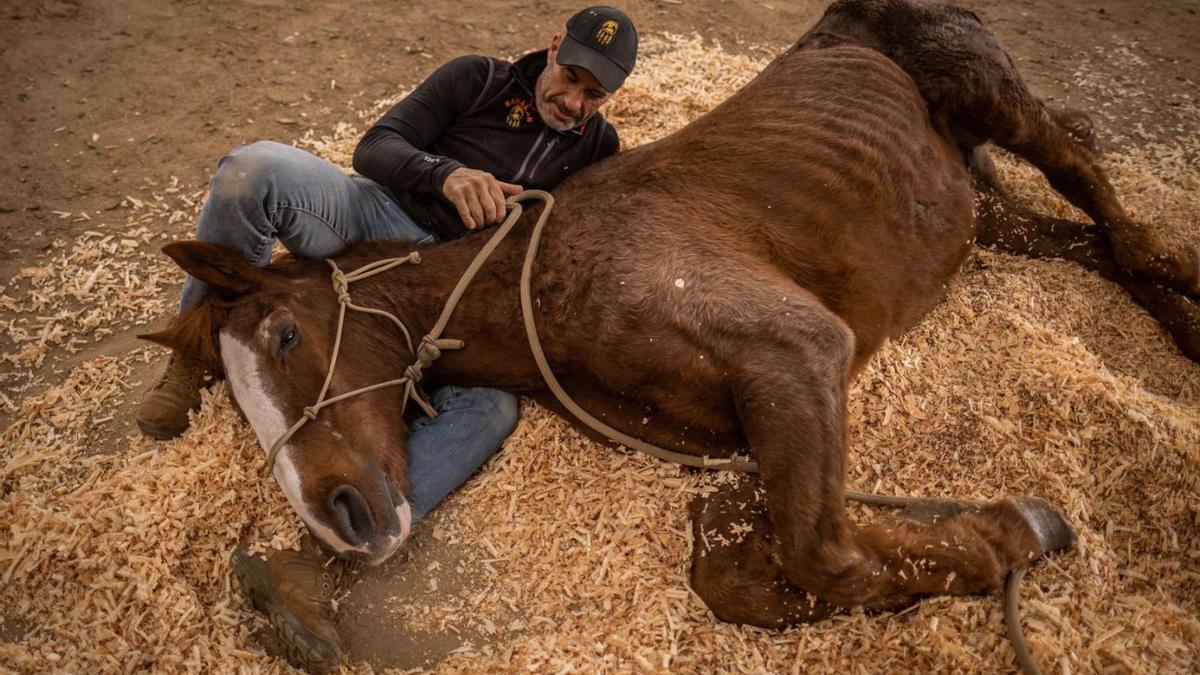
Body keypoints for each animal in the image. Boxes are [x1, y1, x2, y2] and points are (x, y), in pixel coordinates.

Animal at [142, 0, 1200, 624]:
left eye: (285, 335)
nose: (340, 520)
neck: (547, 279)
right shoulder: (736, 433)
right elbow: (743, 568)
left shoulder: (797, 354)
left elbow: (825, 551)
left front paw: (1015, 530)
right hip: (975, 209)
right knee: (1094, 248)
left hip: (997, 98)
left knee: (1105, 200)